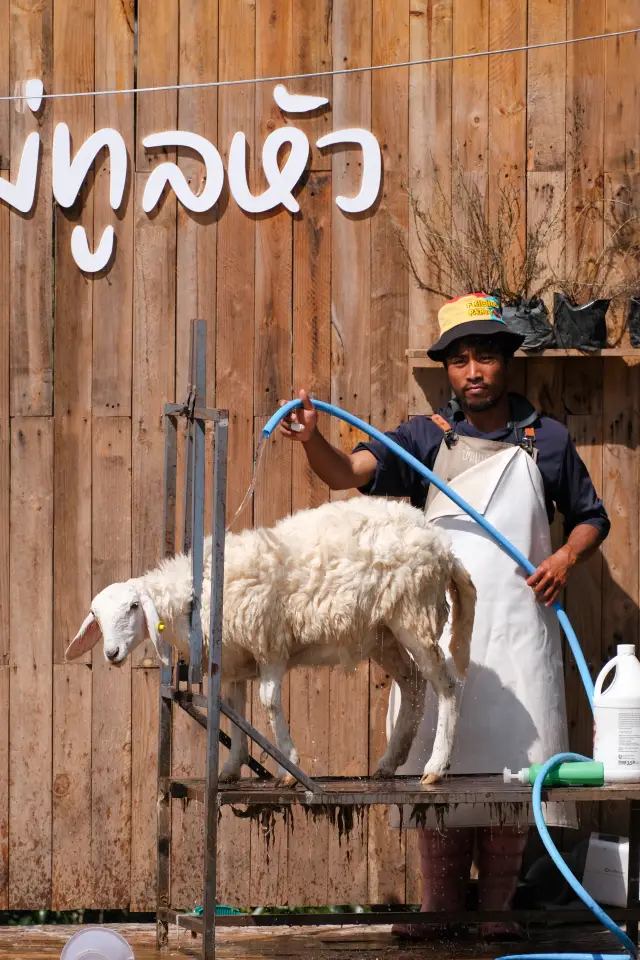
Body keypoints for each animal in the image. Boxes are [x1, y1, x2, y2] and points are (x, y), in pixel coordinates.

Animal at [66, 496, 476, 788]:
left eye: (134, 606)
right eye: (96, 615)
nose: (111, 653)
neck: (196, 598)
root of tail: (443, 547)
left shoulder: (270, 644)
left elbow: (269, 703)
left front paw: (289, 767)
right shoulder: (232, 661)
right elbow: (233, 710)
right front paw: (231, 769)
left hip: (414, 615)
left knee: (446, 686)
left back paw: (436, 766)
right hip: (383, 632)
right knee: (413, 684)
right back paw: (390, 762)